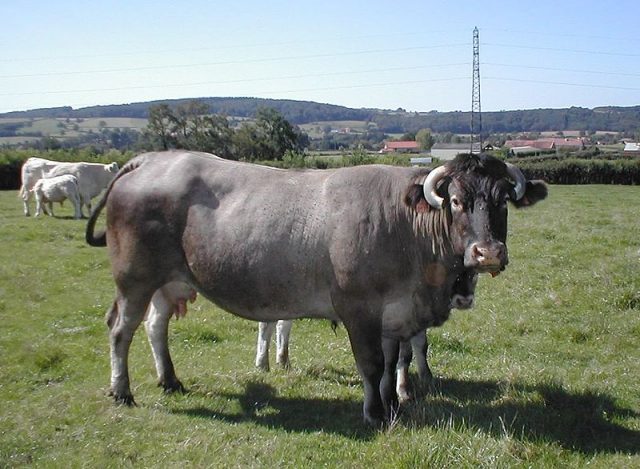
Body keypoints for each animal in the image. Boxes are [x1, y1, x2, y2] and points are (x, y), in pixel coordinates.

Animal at [85, 150, 544, 424]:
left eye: (503, 200)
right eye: (456, 200)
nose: (488, 253)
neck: (403, 225)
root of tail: (150, 158)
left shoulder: (395, 314)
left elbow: (393, 361)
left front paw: (394, 403)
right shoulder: (358, 308)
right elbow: (372, 364)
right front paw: (375, 414)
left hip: (169, 282)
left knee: (155, 326)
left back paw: (169, 379)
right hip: (134, 279)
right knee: (121, 329)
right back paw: (122, 391)